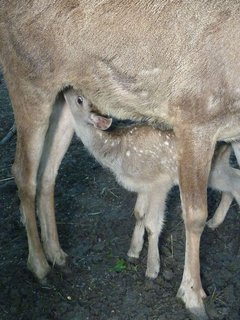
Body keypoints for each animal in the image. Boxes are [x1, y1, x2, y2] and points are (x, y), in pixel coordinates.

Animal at [0, 1, 240, 318]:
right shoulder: (194, 118)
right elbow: (195, 215)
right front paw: (192, 295)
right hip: (27, 80)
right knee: (22, 172)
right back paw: (39, 265)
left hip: (65, 96)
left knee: (48, 172)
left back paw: (57, 253)